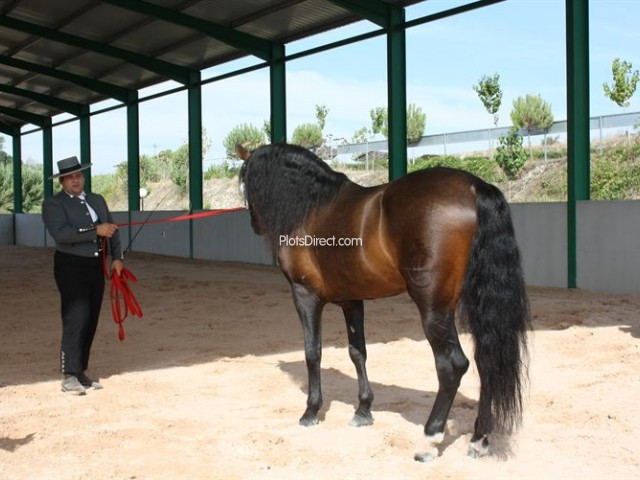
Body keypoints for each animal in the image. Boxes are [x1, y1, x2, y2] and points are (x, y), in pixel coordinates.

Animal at [236, 142, 528, 462]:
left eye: (243, 179)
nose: (253, 223)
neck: (311, 208)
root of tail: (475, 186)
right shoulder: (352, 300)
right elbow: (357, 352)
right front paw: (363, 410)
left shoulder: (305, 296)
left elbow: (313, 353)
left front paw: (311, 412)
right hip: (470, 305)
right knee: (487, 362)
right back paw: (478, 439)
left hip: (433, 308)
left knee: (452, 366)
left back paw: (430, 439)